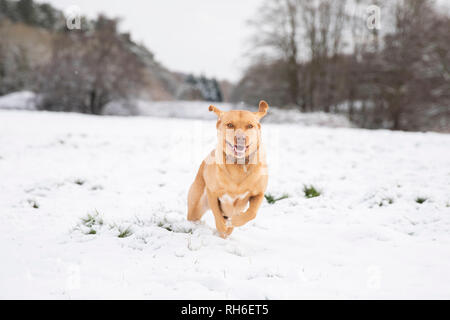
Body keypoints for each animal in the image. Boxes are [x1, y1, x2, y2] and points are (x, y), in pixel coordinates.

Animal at [188, 100, 268, 238]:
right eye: (230, 125)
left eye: (250, 126)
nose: (241, 138)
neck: (239, 165)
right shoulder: (212, 192)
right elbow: (217, 214)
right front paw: (222, 228)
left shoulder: (259, 193)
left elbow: (251, 213)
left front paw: (234, 222)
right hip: (195, 206)